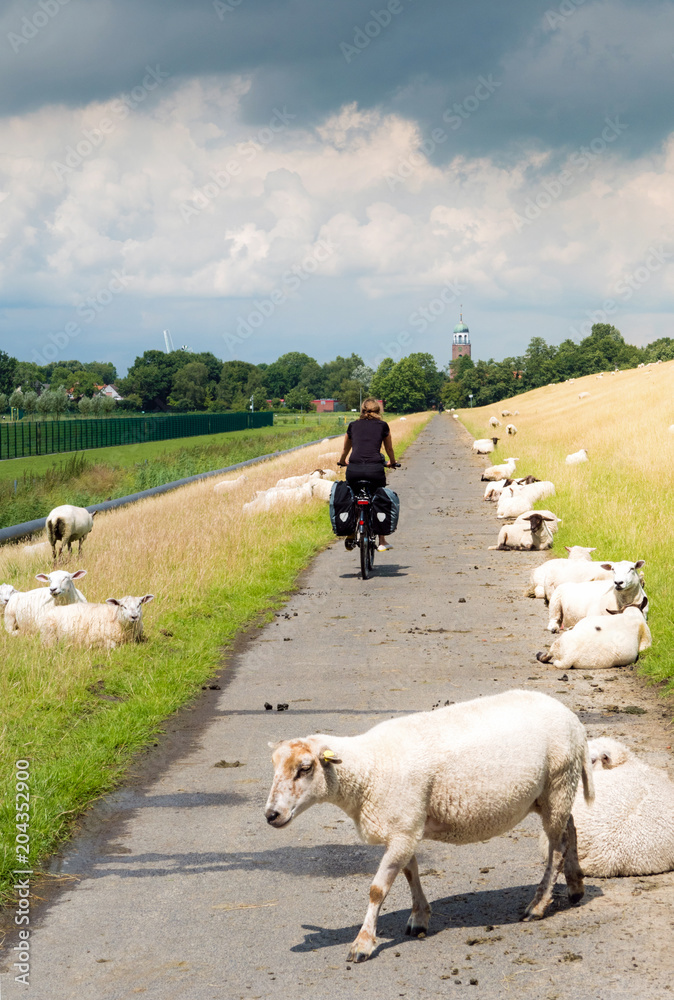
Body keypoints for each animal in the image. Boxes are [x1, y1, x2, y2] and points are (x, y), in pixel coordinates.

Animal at [266, 688, 592, 960]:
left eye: (305, 768)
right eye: (273, 766)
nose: (271, 815)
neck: (369, 769)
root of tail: (573, 720)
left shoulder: (403, 829)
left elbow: (377, 890)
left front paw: (362, 944)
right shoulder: (407, 828)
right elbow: (411, 872)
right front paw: (419, 918)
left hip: (558, 782)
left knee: (557, 846)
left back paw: (537, 906)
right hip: (549, 794)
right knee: (571, 828)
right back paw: (575, 886)